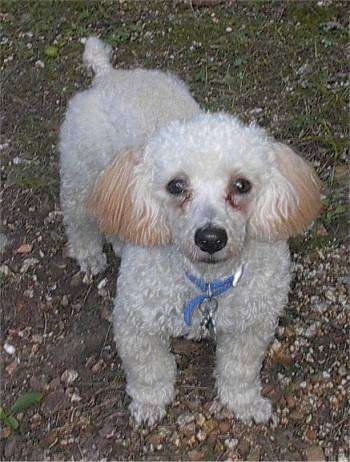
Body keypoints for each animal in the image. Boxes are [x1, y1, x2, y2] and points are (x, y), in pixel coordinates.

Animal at [58, 38, 322, 426]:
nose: (210, 238)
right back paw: (89, 255)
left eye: (241, 185)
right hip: (80, 178)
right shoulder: (136, 323)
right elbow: (149, 369)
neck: (207, 282)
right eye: (176, 185)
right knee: (79, 222)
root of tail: (108, 75)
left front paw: (244, 403)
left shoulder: (252, 325)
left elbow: (239, 369)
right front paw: (150, 403)